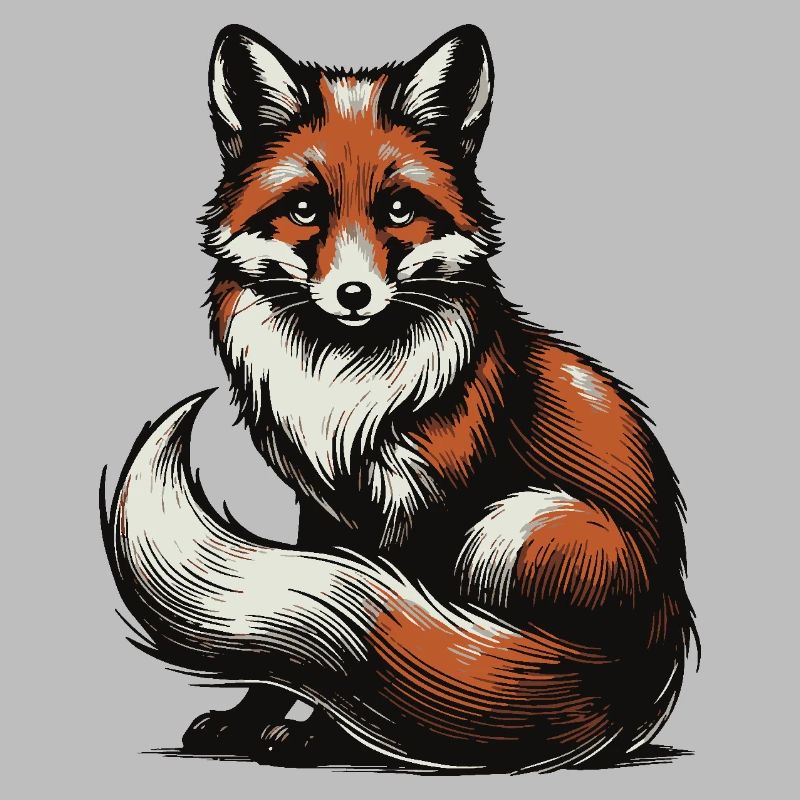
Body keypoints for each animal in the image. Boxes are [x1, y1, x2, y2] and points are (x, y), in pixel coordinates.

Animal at [101, 23, 698, 772]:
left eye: (399, 209)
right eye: (304, 209)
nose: (354, 295)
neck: (344, 388)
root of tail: (656, 651)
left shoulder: (429, 506)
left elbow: (380, 651)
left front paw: (326, 735)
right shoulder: (324, 508)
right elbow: (298, 647)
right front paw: (251, 718)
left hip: (518, 523)